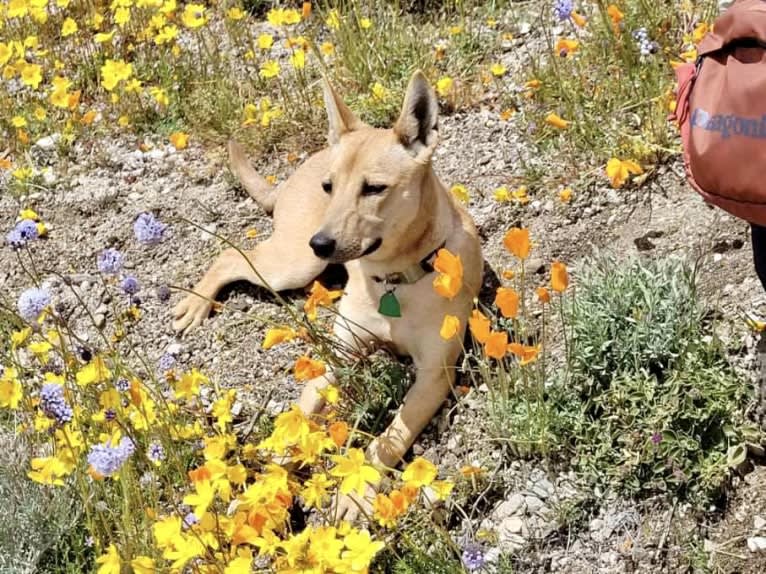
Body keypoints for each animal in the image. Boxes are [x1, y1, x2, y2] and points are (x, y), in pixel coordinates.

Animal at [177, 72, 484, 516]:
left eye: (374, 188)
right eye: (330, 187)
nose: (320, 242)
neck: (393, 281)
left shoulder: (433, 376)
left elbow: (388, 438)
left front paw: (356, 491)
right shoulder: (341, 356)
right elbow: (301, 416)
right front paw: (266, 487)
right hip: (293, 264)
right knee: (230, 255)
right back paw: (195, 302)